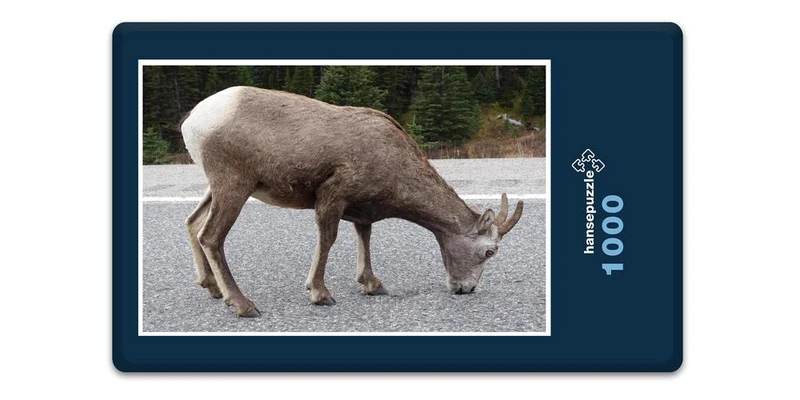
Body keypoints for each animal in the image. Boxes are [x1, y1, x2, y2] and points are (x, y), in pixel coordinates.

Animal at [180, 86, 524, 317]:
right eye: (489, 251)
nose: (466, 289)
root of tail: (193, 120)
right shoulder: (332, 196)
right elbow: (328, 240)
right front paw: (320, 294)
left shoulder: (361, 211)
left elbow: (365, 238)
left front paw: (372, 285)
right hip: (234, 185)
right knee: (211, 236)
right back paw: (243, 305)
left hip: (217, 188)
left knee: (193, 223)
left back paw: (213, 289)